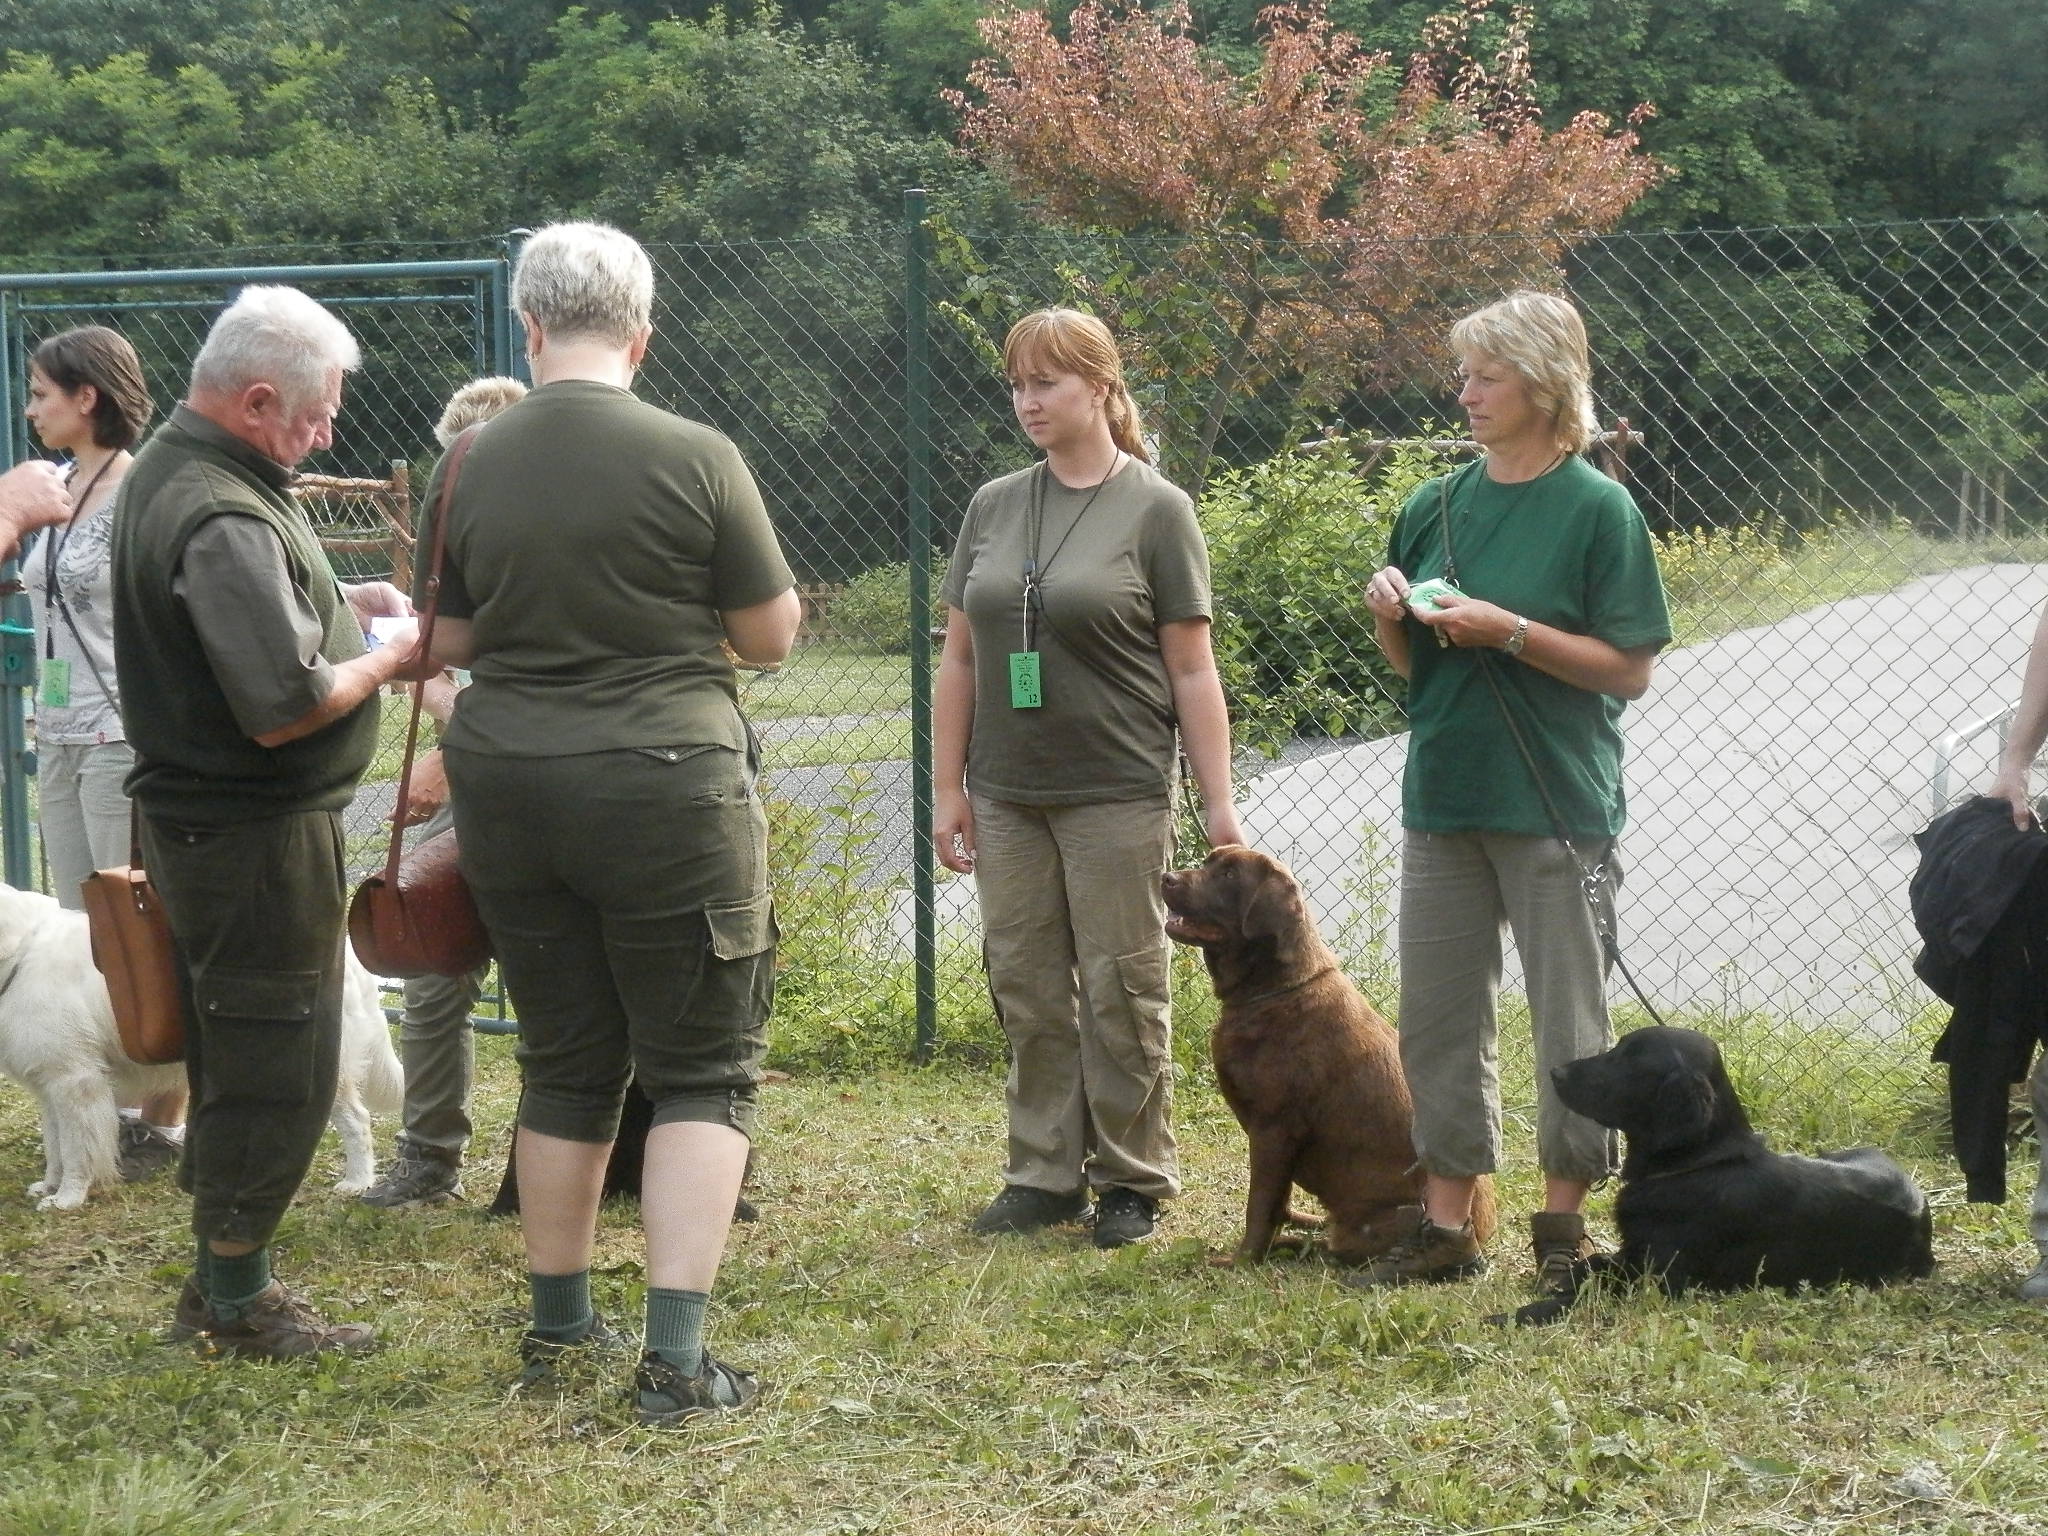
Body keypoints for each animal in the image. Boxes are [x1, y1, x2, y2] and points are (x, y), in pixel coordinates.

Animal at [0, 888, 401, 1212]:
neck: (20, 954)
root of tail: (344, 953)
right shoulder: (51, 1086)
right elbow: (54, 1146)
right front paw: (48, 1186)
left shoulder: (75, 1082)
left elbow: (75, 1151)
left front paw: (67, 1199)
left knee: (358, 1121)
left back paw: (356, 1182)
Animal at [1515, 1028, 1925, 1327]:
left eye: (1627, 1061)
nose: (1556, 1073)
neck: (1700, 1163)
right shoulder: (1635, 1254)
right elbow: (1594, 1264)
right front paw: (1563, 1279)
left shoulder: (1662, 1283)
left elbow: (1591, 1293)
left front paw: (1522, 1313)